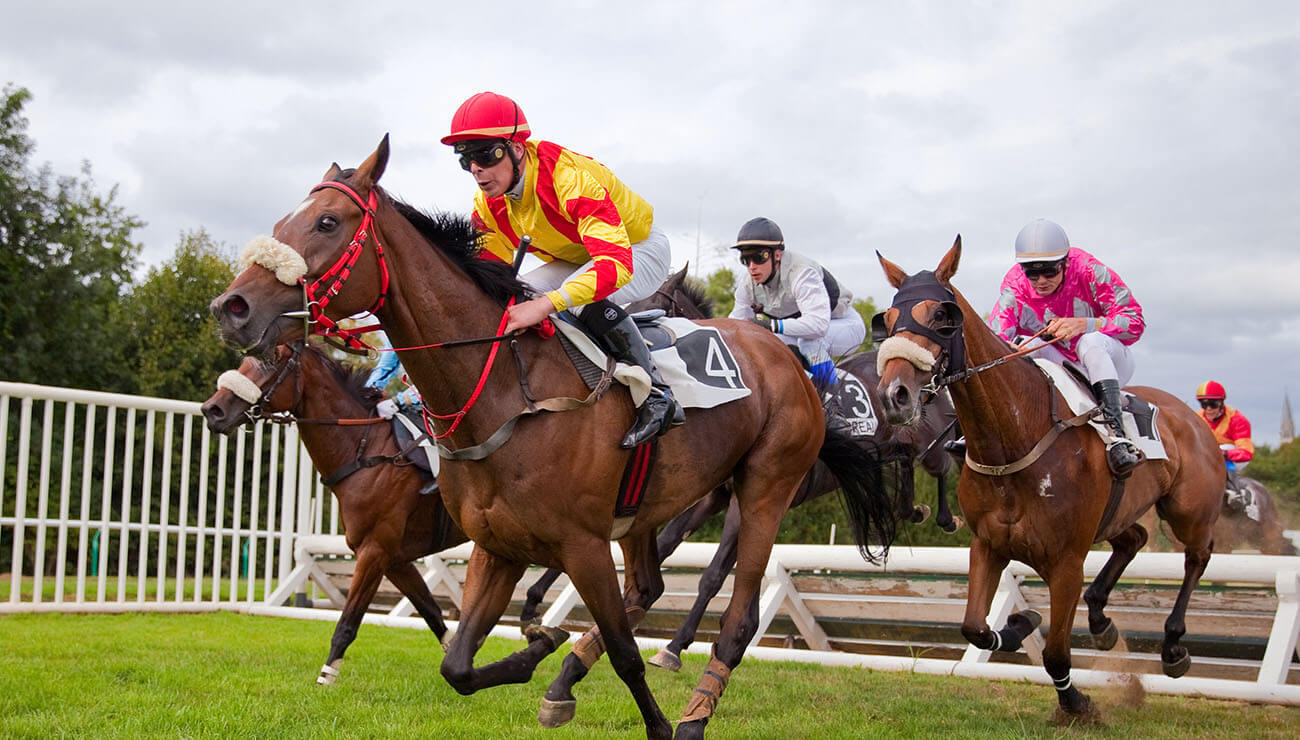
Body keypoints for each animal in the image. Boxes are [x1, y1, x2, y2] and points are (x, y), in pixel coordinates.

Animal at [198, 342, 491, 685]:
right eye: (245, 361)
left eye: (272, 362)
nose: (212, 410)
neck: (366, 451)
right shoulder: (395, 558)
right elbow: (431, 612)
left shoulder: (374, 551)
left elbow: (348, 622)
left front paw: (326, 675)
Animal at [517, 265, 961, 671]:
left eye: (648, 310)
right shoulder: (711, 496)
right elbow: (661, 545)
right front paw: (539, 598)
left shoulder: (743, 500)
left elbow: (713, 575)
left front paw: (674, 647)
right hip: (884, 447)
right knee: (902, 461)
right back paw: (911, 507)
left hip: (923, 438)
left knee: (940, 460)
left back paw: (942, 513)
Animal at [872, 237, 1224, 722]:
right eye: (886, 321)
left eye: (942, 316)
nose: (894, 396)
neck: (1014, 440)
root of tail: (1190, 416)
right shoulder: (988, 544)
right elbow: (974, 628)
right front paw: (1021, 622)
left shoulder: (1066, 561)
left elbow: (1056, 653)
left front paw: (1075, 703)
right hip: (1119, 513)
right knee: (1134, 538)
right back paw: (1101, 621)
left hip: (1188, 510)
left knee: (1197, 557)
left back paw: (1172, 647)